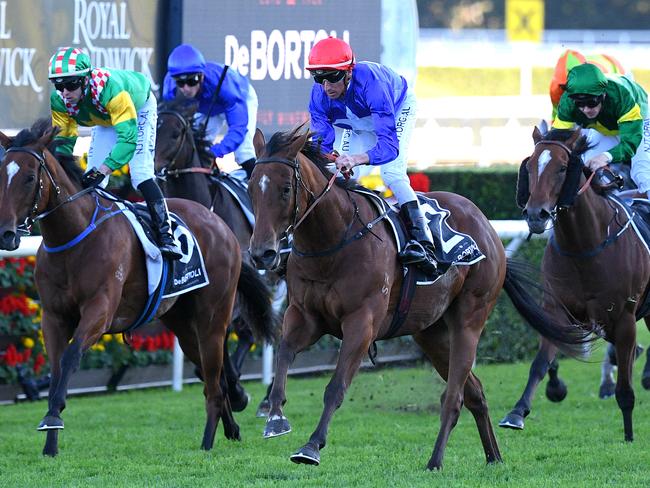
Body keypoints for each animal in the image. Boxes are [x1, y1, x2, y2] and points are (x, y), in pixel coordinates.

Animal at [0, 123, 274, 458]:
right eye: (1, 173)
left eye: (29, 177)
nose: (7, 234)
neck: (74, 235)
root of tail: (222, 227)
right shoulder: (53, 317)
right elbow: (55, 369)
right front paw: (50, 441)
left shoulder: (100, 310)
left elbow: (70, 357)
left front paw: (53, 416)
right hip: (183, 324)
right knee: (215, 379)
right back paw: (232, 426)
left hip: (213, 316)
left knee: (214, 378)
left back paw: (208, 442)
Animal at [246, 127, 588, 470]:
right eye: (251, 188)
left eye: (285, 189)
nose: (262, 253)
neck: (332, 241)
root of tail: (485, 224)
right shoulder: (304, 315)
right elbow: (284, 353)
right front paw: (275, 417)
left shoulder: (361, 322)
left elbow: (336, 387)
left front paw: (312, 446)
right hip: (431, 333)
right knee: (475, 392)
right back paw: (494, 457)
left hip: (469, 319)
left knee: (454, 397)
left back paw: (435, 461)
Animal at [498, 127, 648, 442]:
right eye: (530, 166)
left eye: (562, 168)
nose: (536, 214)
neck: (585, 246)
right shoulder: (557, 308)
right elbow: (541, 362)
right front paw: (519, 411)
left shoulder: (625, 316)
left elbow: (625, 386)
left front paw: (628, 433)